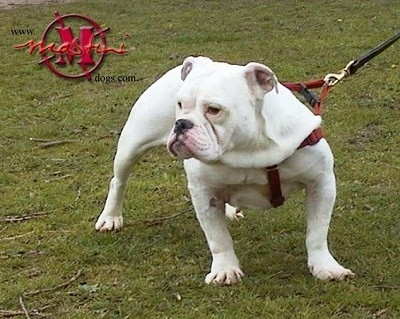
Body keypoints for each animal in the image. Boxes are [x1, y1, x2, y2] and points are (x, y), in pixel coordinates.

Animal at [95, 56, 354, 286]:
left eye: (214, 110)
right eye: (180, 105)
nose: (181, 123)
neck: (247, 149)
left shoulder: (321, 184)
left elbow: (317, 232)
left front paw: (325, 267)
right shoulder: (204, 194)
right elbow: (218, 238)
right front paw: (225, 270)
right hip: (132, 145)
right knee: (118, 181)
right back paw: (110, 217)